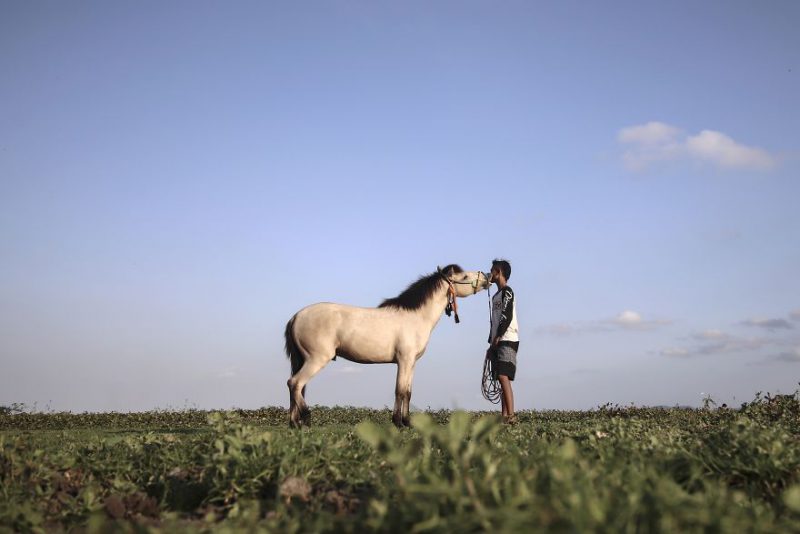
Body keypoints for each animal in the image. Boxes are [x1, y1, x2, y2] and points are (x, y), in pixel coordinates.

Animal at [284, 266, 490, 430]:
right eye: (464, 276)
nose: (487, 277)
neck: (416, 317)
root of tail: (296, 316)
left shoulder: (411, 363)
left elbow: (408, 392)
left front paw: (407, 422)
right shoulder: (404, 360)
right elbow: (400, 390)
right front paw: (398, 422)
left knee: (295, 387)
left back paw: (294, 423)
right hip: (317, 359)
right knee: (295, 383)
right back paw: (306, 418)